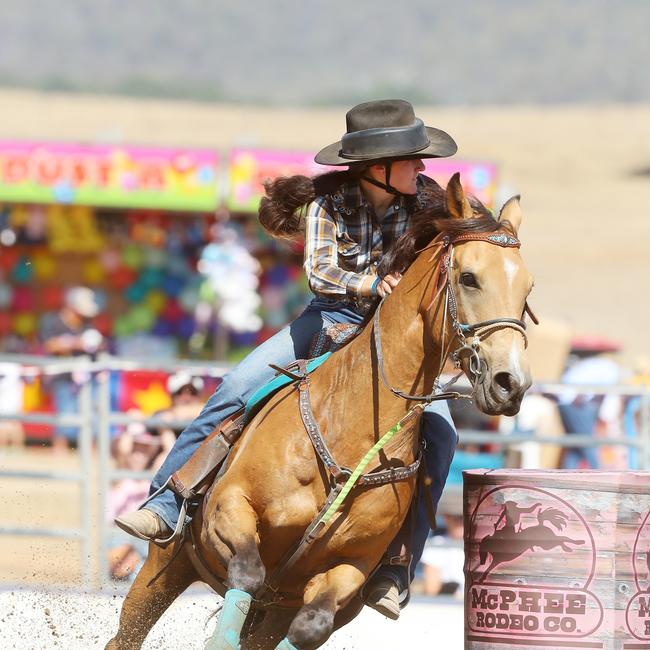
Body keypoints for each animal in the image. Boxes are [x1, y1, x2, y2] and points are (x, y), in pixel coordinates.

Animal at [105, 173, 532, 648]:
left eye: (527, 289)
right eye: (469, 278)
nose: (510, 383)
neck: (352, 431)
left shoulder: (348, 569)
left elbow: (311, 626)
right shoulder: (229, 509)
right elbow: (248, 571)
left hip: (273, 608)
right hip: (166, 563)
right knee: (128, 632)